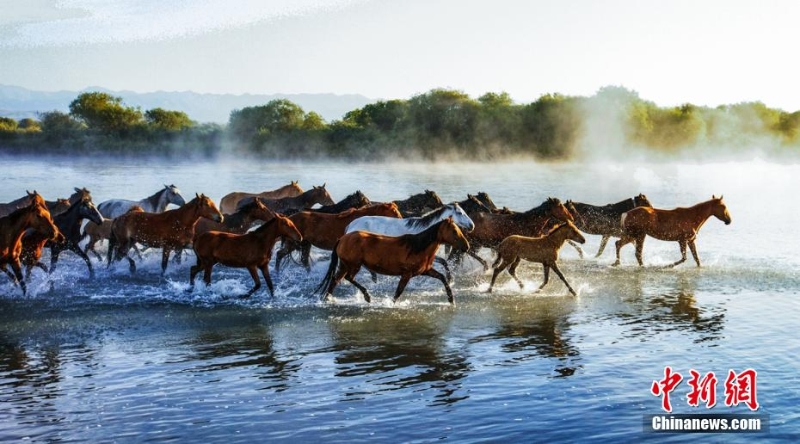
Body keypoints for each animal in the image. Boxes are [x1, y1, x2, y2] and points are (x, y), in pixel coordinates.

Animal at [276, 203, 404, 272]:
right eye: (394, 211)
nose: (402, 220)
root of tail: (289, 219)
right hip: (294, 243)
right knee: (280, 254)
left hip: (306, 243)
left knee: (304, 260)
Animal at [318, 218, 468, 306]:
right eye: (454, 231)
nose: (466, 246)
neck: (417, 247)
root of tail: (342, 239)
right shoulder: (407, 274)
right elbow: (398, 291)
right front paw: (390, 304)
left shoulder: (425, 270)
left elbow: (442, 277)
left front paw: (451, 300)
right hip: (353, 265)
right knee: (348, 278)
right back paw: (367, 296)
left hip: (344, 265)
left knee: (335, 280)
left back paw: (327, 299)